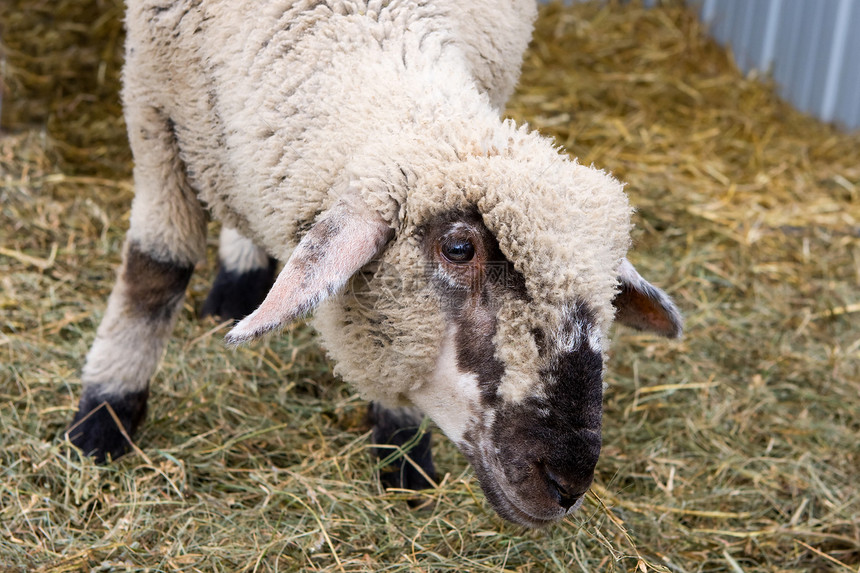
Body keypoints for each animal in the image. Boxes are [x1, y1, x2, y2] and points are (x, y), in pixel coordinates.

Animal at [67, 0, 680, 528]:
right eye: (459, 249)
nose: (567, 482)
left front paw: (404, 462)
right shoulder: (154, 116)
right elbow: (154, 274)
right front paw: (101, 422)